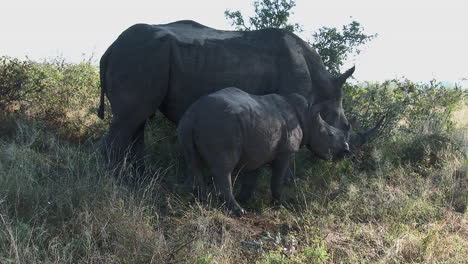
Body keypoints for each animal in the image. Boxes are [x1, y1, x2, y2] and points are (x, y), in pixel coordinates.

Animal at [177, 87, 350, 216]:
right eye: (330, 135)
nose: (346, 150)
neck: (308, 117)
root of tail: (194, 113)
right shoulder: (286, 152)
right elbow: (278, 179)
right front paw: (282, 205)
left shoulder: (257, 151)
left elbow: (251, 178)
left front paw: (245, 199)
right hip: (221, 123)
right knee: (223, 169)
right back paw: (238, 211)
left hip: (188, 124)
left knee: (193, 162)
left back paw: (201, 204)